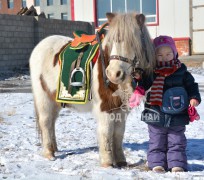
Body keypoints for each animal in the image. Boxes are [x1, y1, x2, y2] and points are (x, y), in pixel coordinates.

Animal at [29, 12, 155, 167]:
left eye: (133, 41)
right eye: (112, 41)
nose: (113, 73)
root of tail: (40, 45)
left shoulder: (121, 110)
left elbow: (118, 134)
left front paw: (121, 161)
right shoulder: (105, 108)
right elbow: (106, 133)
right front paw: (107, 163)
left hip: (55, 100)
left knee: (52, 121)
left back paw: (54, 148)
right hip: (43, 98)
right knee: (46, 121)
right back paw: (49, 153)